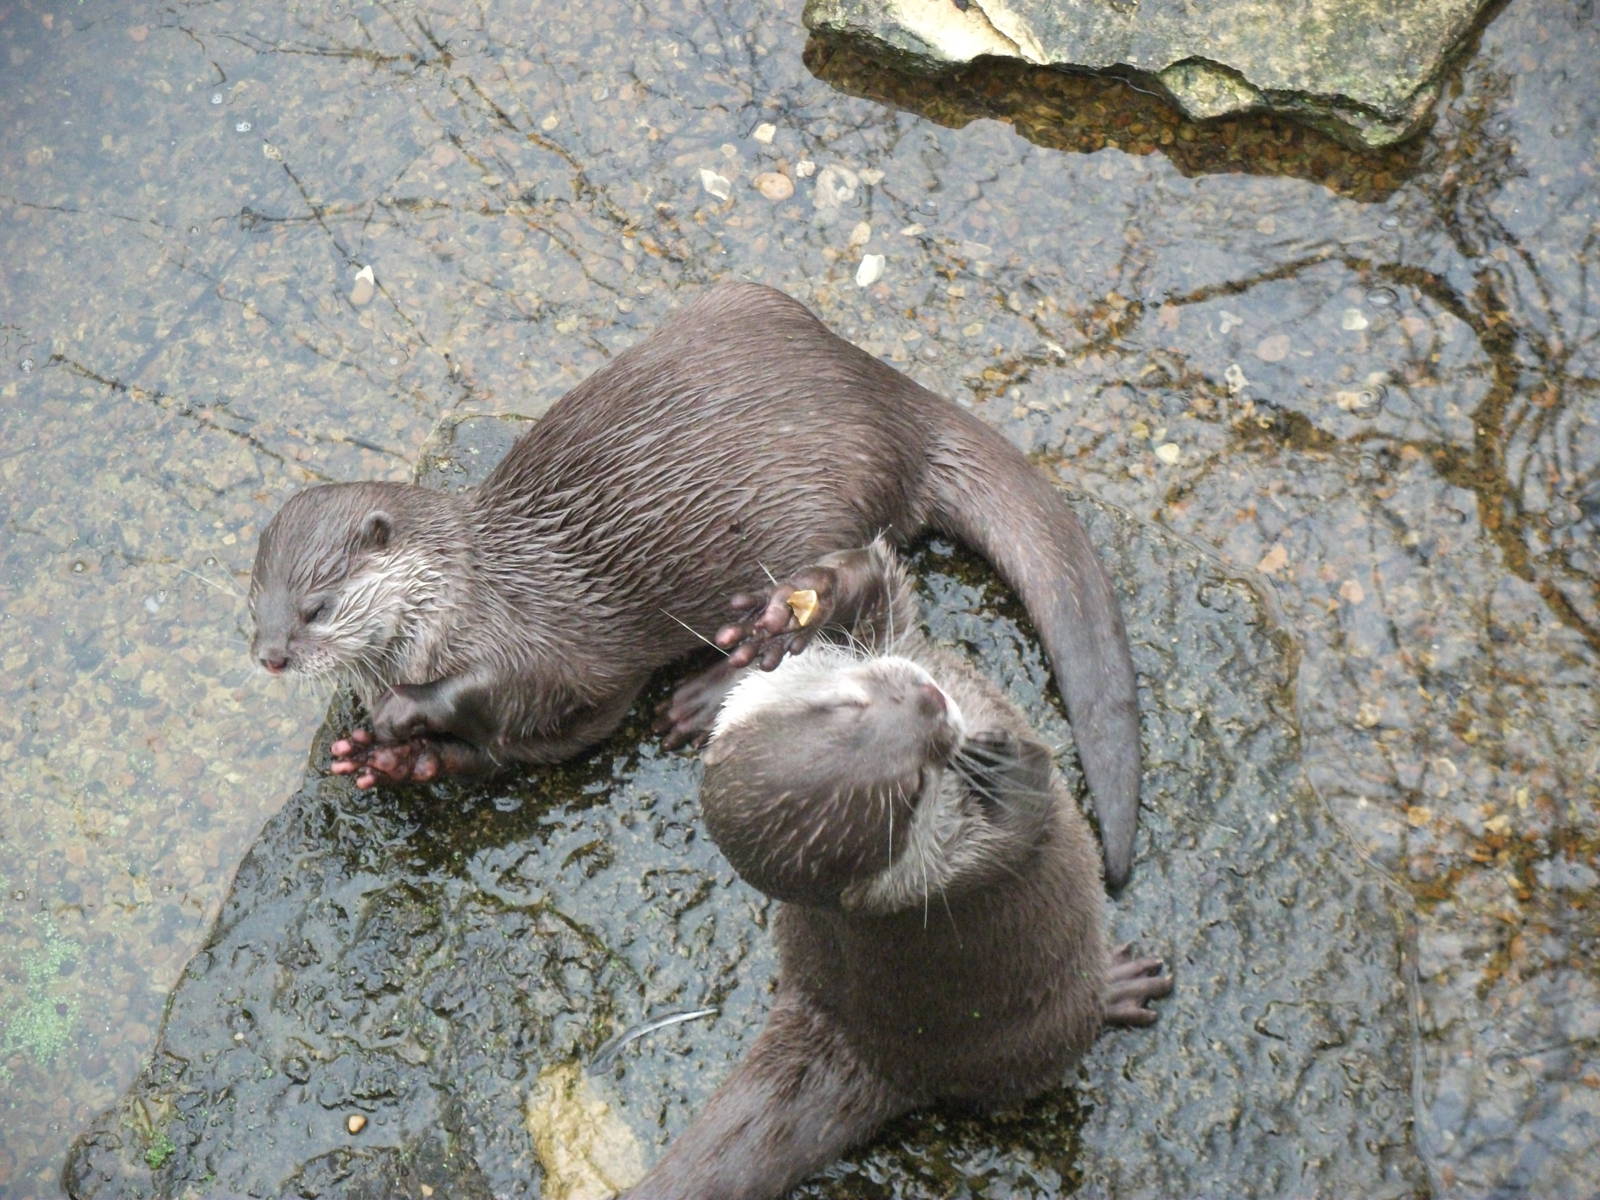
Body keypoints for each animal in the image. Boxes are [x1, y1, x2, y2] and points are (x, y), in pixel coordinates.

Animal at [249, 281, 1142, 884]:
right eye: (253, 608)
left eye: (317, 608)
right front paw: (396, 760)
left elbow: (515, 687)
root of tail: (893, 401)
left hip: (818, 504)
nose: (271, 656)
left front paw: (404, 714)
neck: (471, 591)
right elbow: (490, 754)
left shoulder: (537, 643)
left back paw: (711, 686)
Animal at [622, 539, 1170, 1200]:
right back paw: (1118, 986)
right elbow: (1007, 844)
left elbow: (881, 598)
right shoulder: (943, 877)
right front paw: (1004, 780)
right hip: (1040, 1029)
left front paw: (796, 608)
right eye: (911, 790)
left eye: (845, 705)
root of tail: (865, 1048)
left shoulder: (900, 642)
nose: (930, 702)